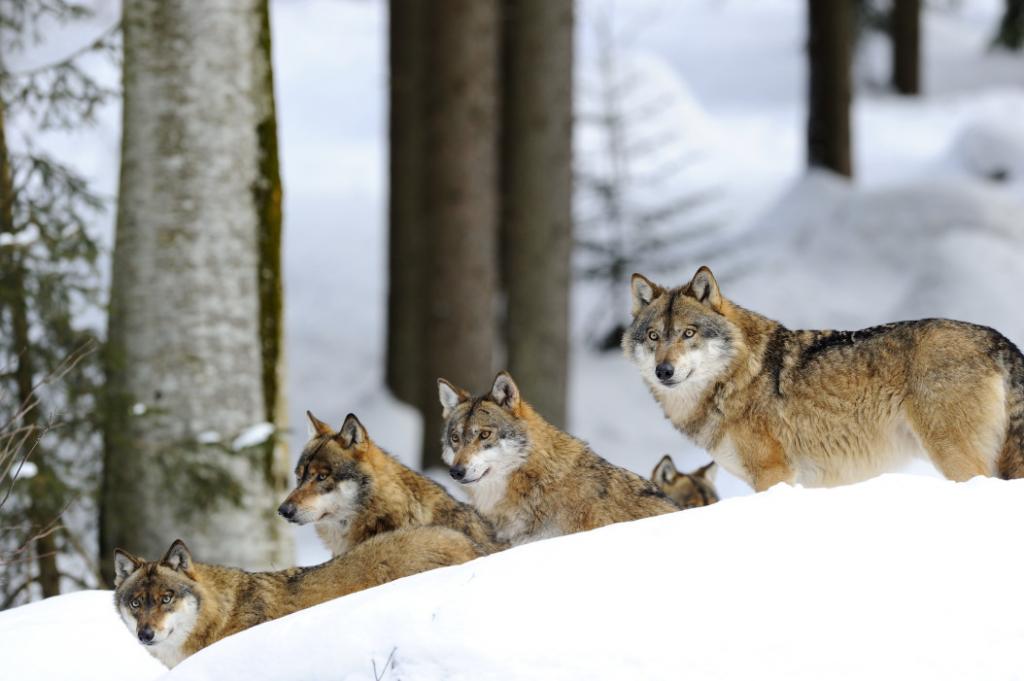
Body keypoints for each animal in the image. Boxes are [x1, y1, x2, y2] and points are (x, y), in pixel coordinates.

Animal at [624, 265, 1024, 490]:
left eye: (688, 333)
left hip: (954, 457)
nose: (664, 371)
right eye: (654, 337)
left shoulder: (773, 475)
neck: (736, 377)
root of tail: (997, 338)